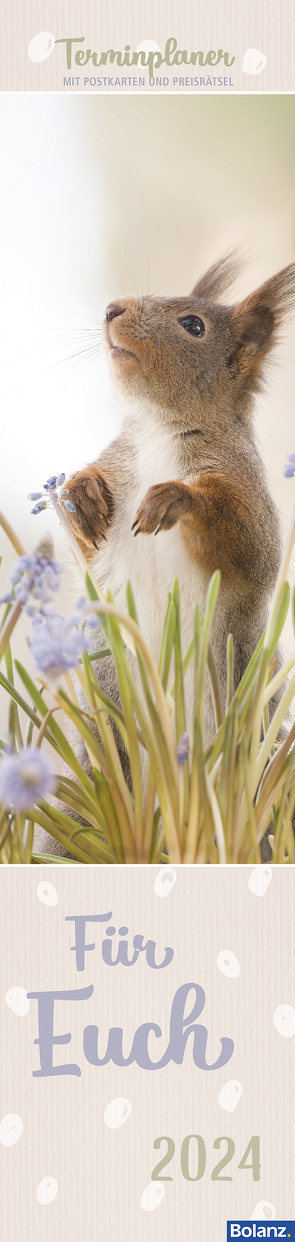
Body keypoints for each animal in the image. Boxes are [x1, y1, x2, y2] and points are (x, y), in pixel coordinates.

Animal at [40, 252, 295, 854]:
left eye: (193, 326)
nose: (113, 309)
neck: (159, 428)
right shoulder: (117, 466)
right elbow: (83, 544)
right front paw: (84, 496)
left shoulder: (246, 495)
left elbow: (246, 542)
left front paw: (174, 499)